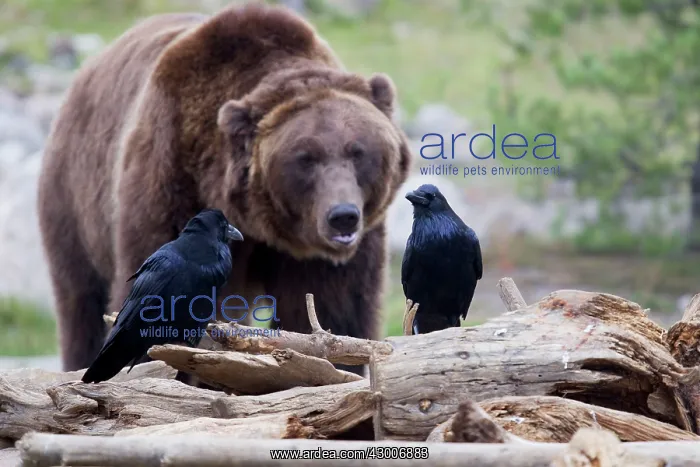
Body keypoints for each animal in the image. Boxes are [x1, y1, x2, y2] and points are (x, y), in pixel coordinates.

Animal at [37, 2, 411, 376]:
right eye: (306, 158)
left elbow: (331, 308)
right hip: (74, 200)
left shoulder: (327, 257)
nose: (343, 216)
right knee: (81, 301)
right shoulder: (173, 180)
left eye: (358, 151)